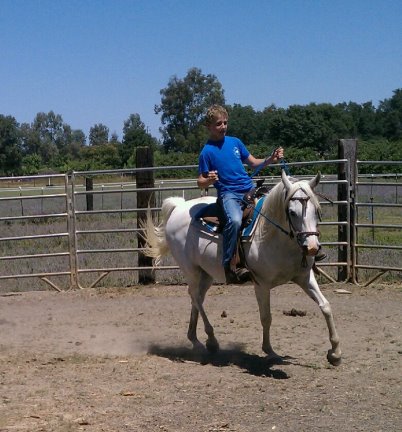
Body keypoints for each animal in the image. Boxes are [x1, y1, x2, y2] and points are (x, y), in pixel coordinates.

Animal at [143, 170, 340, 366]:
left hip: (206, 273)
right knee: (195, 296)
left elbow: (326, 306)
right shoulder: (261, 284)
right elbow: (266, 317)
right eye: (292, 212)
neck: (270, 234)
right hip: (191, 269)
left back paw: (195, 339)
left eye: (317, 210)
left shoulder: (304, 277)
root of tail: (178, 207)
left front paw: (335, 353)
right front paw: (269, 351)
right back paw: (210, 341)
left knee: (196, 298)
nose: (312, 247)